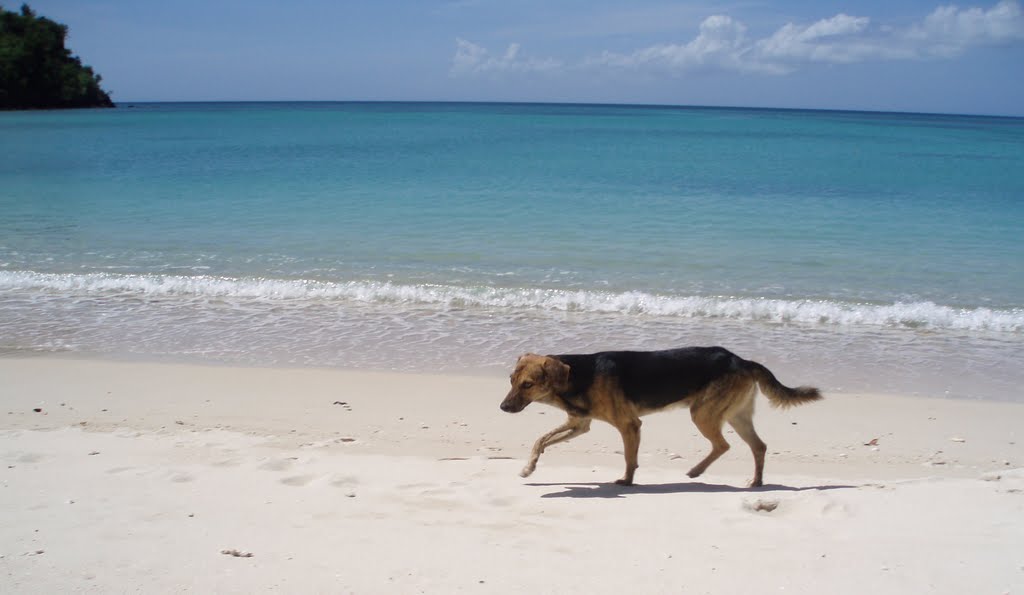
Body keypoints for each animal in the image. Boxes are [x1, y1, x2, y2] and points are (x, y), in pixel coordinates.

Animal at [499, 346, 819, 485]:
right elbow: (540, 441)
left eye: (527, 384)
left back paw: (700, 471)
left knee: (724, 445)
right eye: (511, 380)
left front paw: (626, 481)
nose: (502, 408)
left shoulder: (629, 425)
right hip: (735, 415)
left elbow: (629, 458)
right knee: (757, 446)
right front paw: (529, 468)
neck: (577, 377)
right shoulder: (578, 425)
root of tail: (740, 359)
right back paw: (752, 481)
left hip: (703, 413)